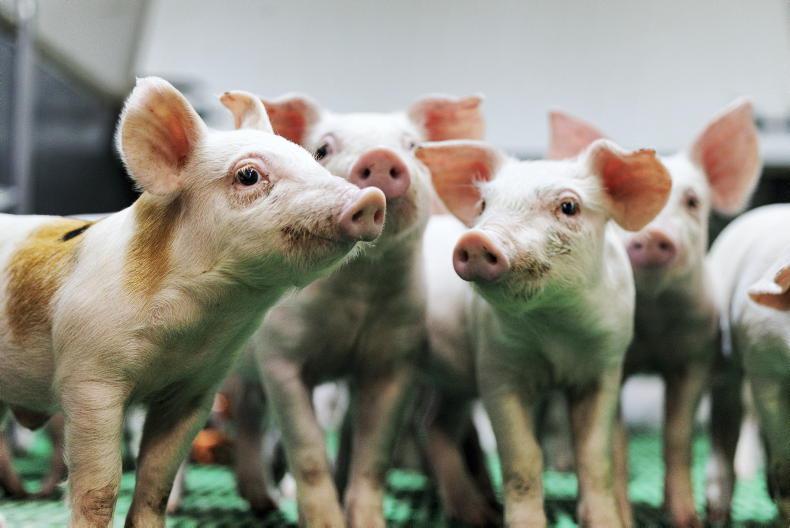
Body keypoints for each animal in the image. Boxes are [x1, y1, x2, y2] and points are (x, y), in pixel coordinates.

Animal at [0, 77, 385, 527]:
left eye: (313, 158)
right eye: (249, 175)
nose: (372, 198)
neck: (195, 327)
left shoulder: (196, 387)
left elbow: (156, 478)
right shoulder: (89, 378)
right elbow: (101, 486)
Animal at [228, 92, 484, 527]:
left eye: (412, 146)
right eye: (321, 150)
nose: (380, 156)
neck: (360, 292)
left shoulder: (396, 359)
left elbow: (374, 455)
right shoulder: (279, 356)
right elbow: (309, 449)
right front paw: (325, 523)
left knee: (248, 421)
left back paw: (262, 504)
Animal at [416, 138, 672, 527]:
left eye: (568, 206)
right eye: (483, 205)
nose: (476, 240)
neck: (556, 329)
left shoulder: (605, 368)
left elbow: (593, 455)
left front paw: (607, 522)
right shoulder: (495, 369)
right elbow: (522, 457)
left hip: (454, 380)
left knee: (435, 423)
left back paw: (476, 512)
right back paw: (478, 515)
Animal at [547, 99, 761, 527]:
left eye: (693, 201)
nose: (650, 236)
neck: (653, 321)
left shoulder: (695, 357)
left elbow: (677, 436)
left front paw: (686, 519)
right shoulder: (613, 362)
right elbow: (616, 445)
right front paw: (625, 518)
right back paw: (561, 468)